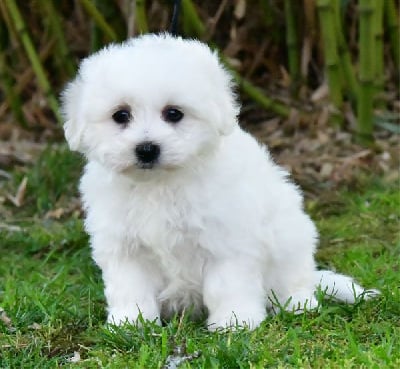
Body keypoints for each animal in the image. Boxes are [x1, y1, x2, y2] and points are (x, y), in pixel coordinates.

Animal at [61, 33, 378, 330]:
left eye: (173, 113)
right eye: (120, 115)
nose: (147, 149)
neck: (160, 182)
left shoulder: (227, 239)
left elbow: (227, 284)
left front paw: (234, 322)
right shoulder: (125, 246)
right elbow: (131, 287)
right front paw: (131, 322)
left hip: (290, 238)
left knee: (294, 276)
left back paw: (297, 302)